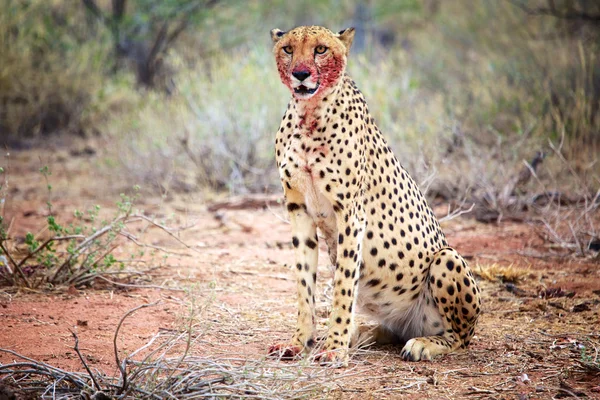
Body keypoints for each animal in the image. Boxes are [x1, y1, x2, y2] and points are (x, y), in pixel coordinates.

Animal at [268, 25, 482, 366]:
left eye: (320, 49)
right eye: (288, 49)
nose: (301, 73)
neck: (309, 113)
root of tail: (409, 326)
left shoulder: (350, 214)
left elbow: (343, 286)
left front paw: (335, 347)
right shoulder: (298, 208)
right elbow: (304, 285)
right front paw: (300, 342)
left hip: (446, 258)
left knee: (459, 338)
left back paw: (423, 344)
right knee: (390, 332)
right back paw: (361, 334)